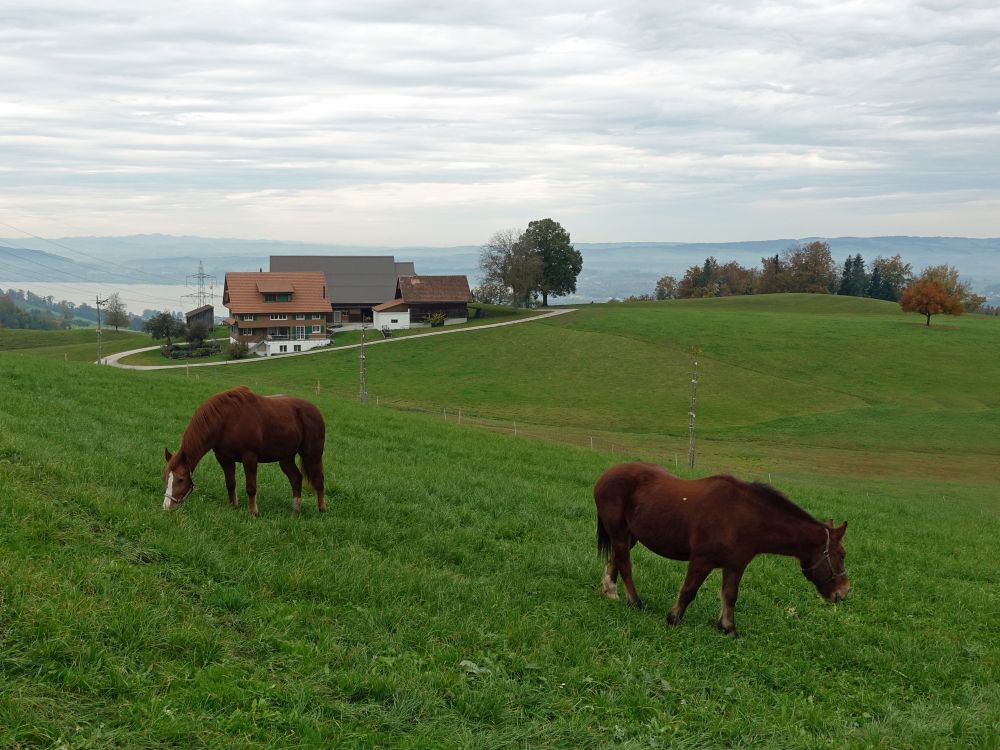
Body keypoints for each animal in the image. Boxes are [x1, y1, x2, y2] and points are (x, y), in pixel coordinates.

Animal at [160, 388, 324, 516]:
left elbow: (251, 487)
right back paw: (296, 510)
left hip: (313, 455)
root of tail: (315, 410)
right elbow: (230, 483)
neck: (225, 420)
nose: (167, 507)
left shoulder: (249, 456)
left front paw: (253, 512)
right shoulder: (224, 458)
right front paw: (233, 507)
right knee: (296, 478)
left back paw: (322, 509)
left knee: (319, 480)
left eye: (181, 479)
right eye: (165, 478)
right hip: (286, 458)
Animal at [596, 464, 848, 636]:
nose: (844, 593)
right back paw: (634, 601)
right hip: (620, 534)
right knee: (625, 564)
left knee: (616, 559)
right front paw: (674, 618)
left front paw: (728, 628)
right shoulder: (701, 561)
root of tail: (605, 476)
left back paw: (610, 590)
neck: (744, 517)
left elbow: (730, 595)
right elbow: (688, 591)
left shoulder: (735, 565)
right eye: (842, 555)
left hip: (629, 536)